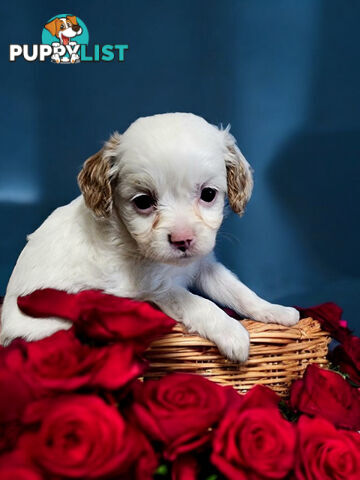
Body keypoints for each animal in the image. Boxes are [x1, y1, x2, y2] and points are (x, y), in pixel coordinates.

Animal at [0, 112, 300, 360]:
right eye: (143, 202)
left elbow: (239, 291)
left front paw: (275, 310)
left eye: (208, 194)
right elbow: (197, 303)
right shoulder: (153, 289)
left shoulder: (203, 265)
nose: (182, 240)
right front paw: (232, 331)